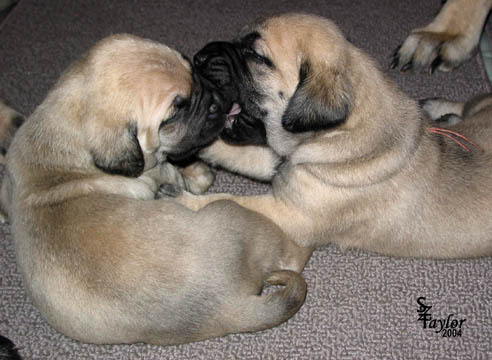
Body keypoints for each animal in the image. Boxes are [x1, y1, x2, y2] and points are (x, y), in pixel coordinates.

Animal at [0, 34, 310, 346]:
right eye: (176, 111)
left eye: (191, 71)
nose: (217, 99)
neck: (62, 153)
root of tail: (228, 308)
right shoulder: (158, 169)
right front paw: (196, 172)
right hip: (232, 211)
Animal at [181, 11, 492, 258]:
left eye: (256, 56)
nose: (199, 57)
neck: (331, 135)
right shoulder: (277, 161)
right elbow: (230, 151)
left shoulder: (291, 213)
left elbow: (224, 201)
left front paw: (177, 201)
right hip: (481, 106)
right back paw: (440, 109)